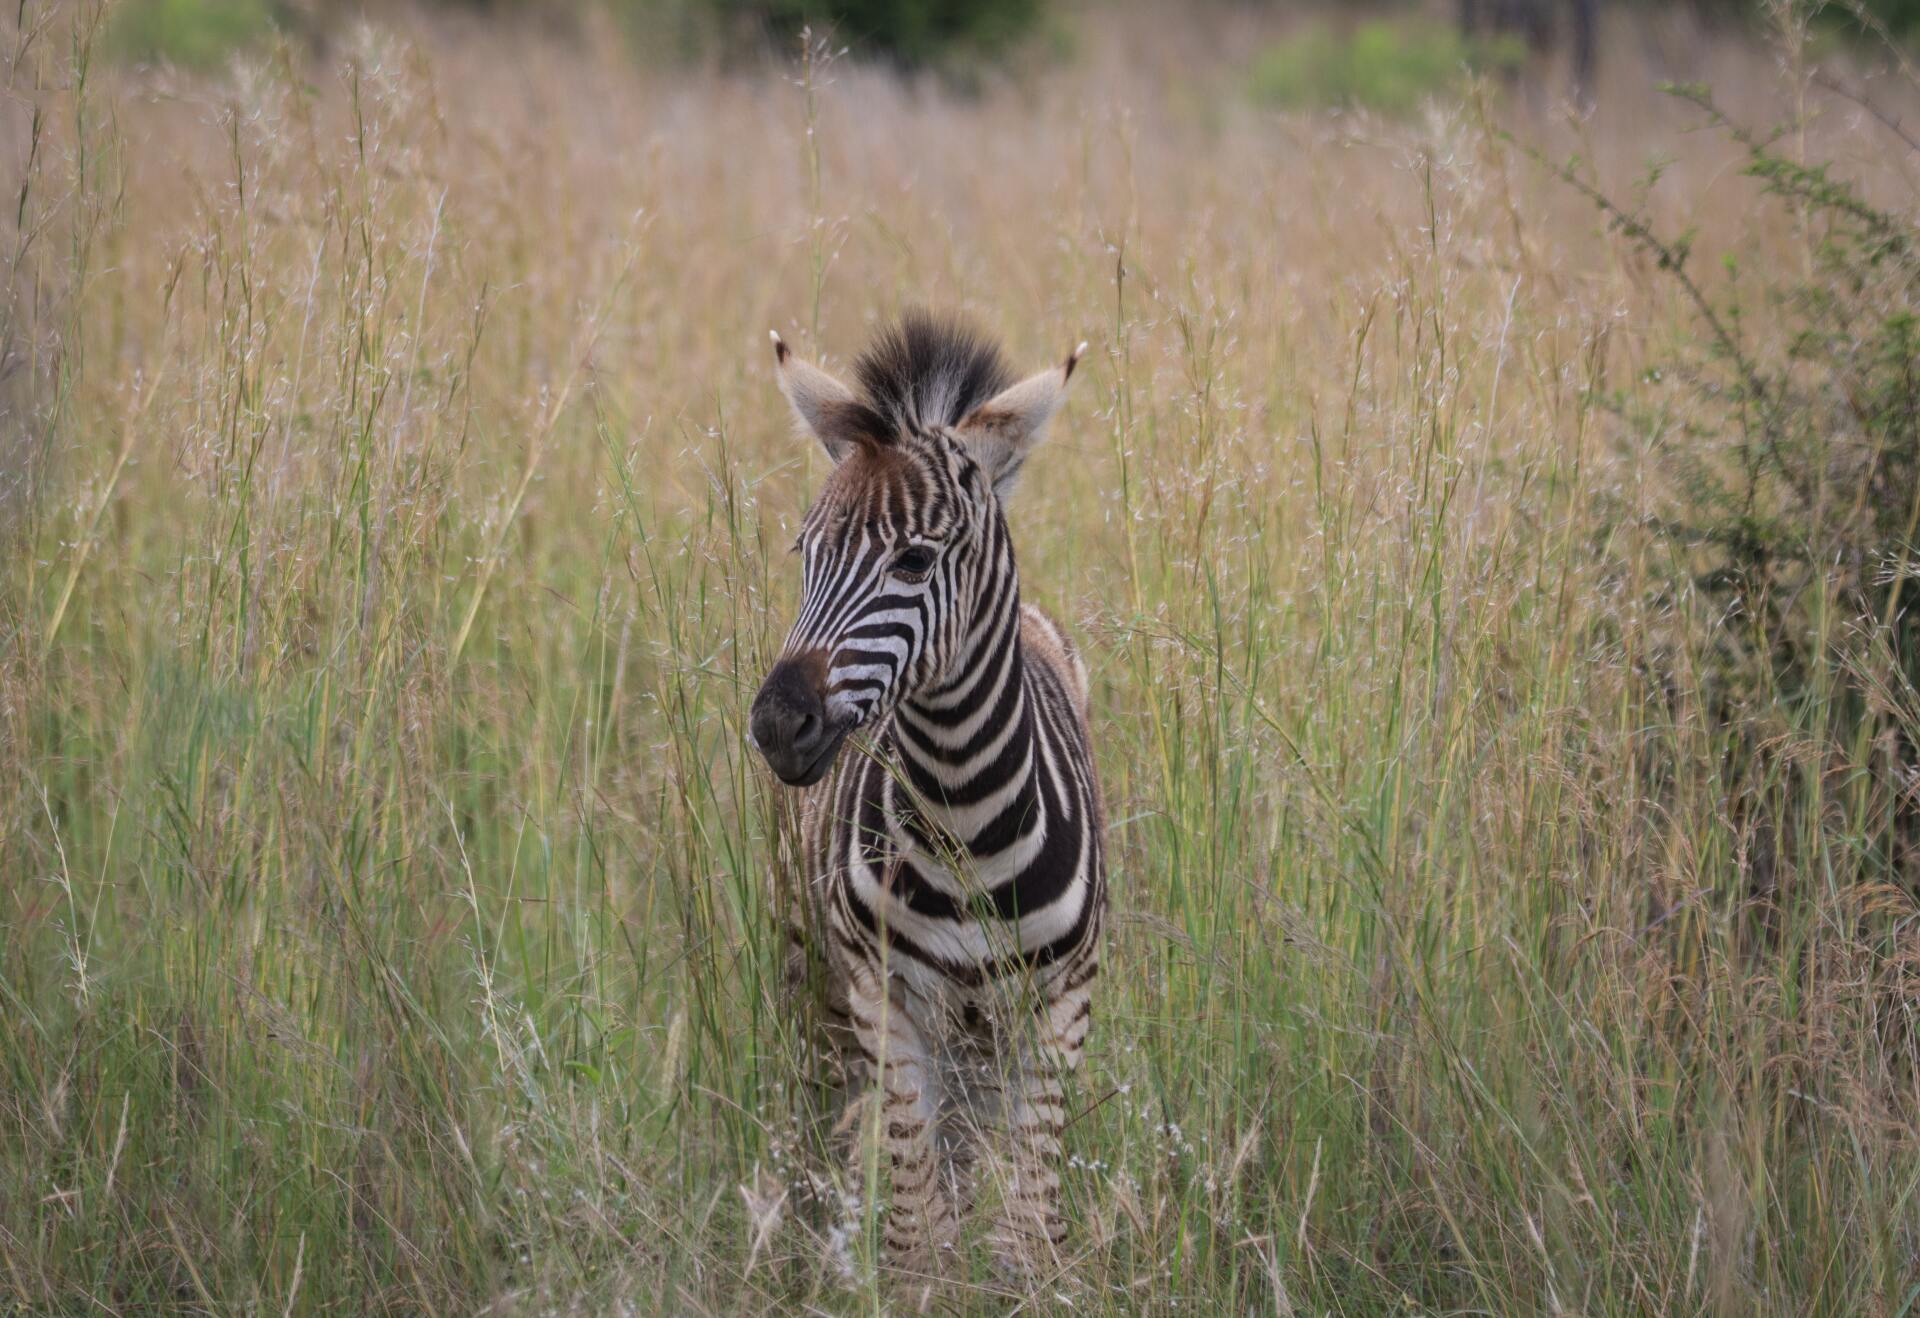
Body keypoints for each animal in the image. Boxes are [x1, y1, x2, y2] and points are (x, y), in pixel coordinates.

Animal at [748, 311, 1105, 1273]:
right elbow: (917, 1233)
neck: (966, 820)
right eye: (805, 554)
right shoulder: (886, 998)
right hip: (821, 976)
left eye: (913, 561)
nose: (777, 724)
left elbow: (1030, 1230)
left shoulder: (1064, 1004)